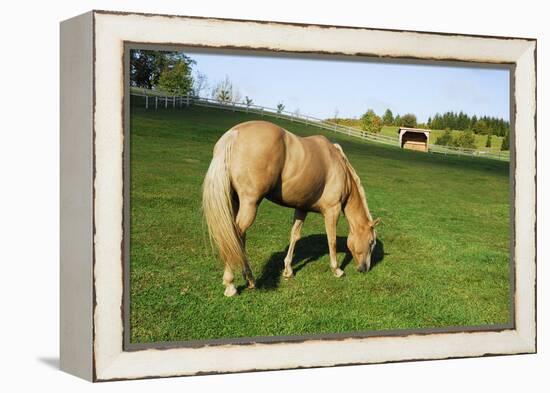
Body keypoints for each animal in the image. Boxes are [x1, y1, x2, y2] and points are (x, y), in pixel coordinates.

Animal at [203, 119, 380, 294]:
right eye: (371, 242)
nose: (365, 268)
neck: (339, 168)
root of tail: (234, 134)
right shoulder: (332, 211)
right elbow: (332, 240)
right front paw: (337, 270)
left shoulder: (302, 208)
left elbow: (294, 236)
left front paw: (288, 270)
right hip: (250, 204)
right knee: (236, 236)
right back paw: (231, 284)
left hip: (235, 202)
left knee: (237, 238)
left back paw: (249, 279)